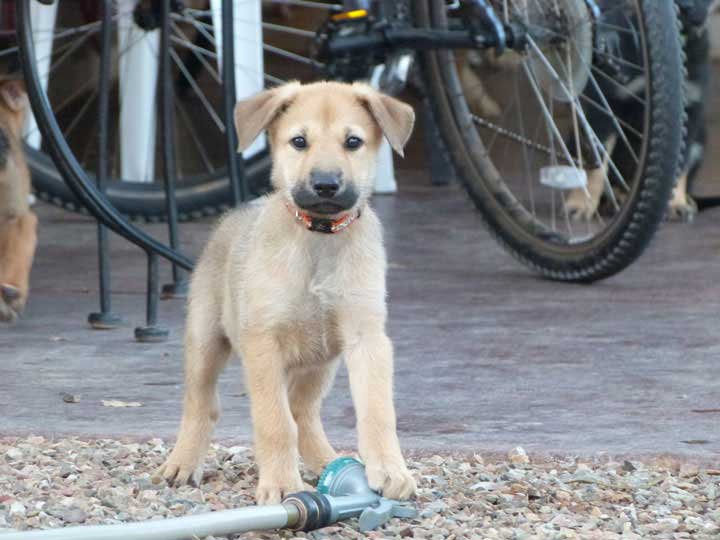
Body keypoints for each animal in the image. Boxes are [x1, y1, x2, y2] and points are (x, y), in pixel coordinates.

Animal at [158, 82, 416, 504]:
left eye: (353, 142)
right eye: (299, 141)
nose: (326, 184)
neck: (320, 240)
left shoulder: (366, 339)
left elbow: (377, 412)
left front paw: (389, 470)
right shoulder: (264, 343)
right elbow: (274, 422)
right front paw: (280, 484)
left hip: (321, 363)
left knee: (302, 411)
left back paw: (329, 462)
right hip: (205, 340)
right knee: (202, 404)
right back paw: (183, 462)